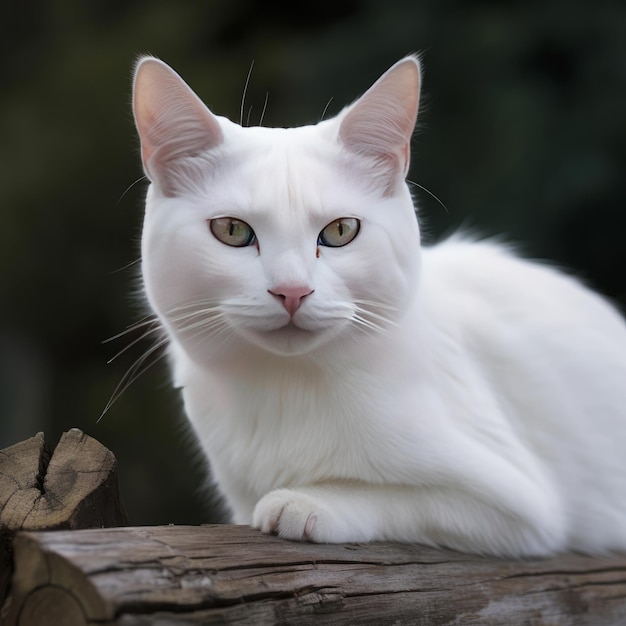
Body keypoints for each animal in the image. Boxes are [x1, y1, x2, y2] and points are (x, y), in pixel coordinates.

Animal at [132, 54, 624, 556]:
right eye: (232, 230)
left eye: (341, 231)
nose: (292, 291)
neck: (286, 390)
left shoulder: (516, 508)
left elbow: (392, 496)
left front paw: (305, 501)